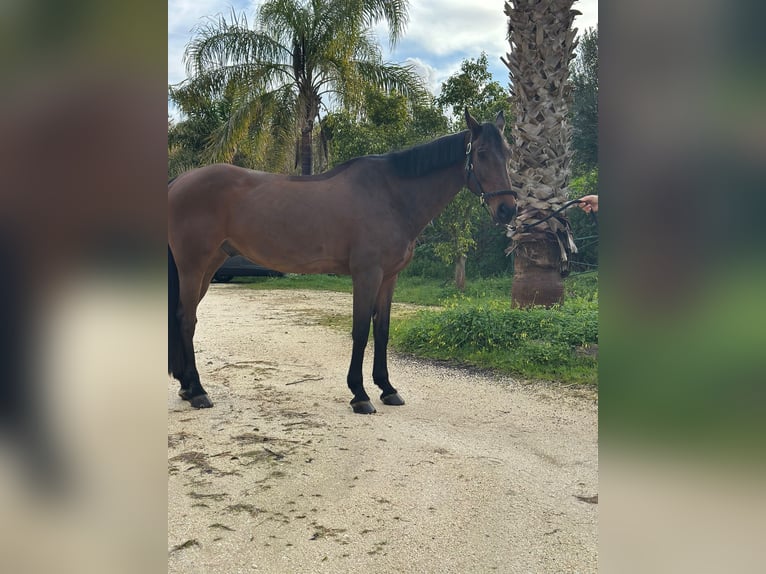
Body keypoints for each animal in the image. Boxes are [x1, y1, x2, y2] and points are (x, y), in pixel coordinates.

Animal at [168, 109, 516, 414]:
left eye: (509, 153)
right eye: (481, 152)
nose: (508, 209)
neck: (391, 195)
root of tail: (179, 181)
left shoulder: (389, 278)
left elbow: (382, 331)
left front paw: (387, 388)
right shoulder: (367, 274)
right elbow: (361, 331)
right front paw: (360, 395)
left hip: (209, 266)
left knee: (184, 315)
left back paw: (186, 387)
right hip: (193, 267)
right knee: (187, 320)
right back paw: (198, 391)